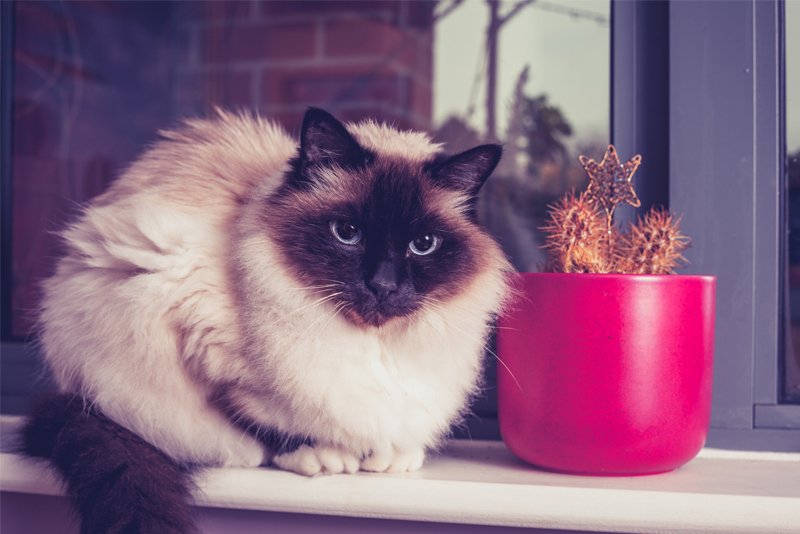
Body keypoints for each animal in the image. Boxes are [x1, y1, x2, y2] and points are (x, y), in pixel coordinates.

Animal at [20, 107, 512, 532]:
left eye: (423, 245)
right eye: (347, 234)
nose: (384, 285)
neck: (372, 344)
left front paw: (390, 456)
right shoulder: (196, 339)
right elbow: (263, 420)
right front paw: (325, 456)